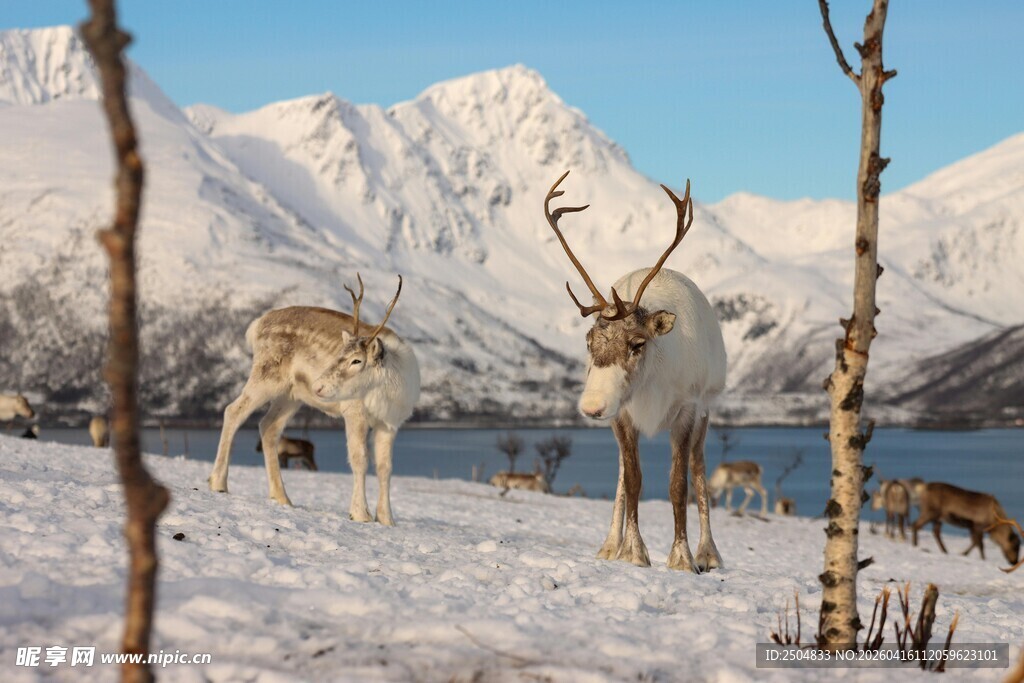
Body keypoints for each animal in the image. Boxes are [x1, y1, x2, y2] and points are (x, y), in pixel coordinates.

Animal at [208, 275, 420, 525]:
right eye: (340, 354)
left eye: (357, 360)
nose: (318, 386)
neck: (391, 390)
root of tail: (256, 325)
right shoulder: (354, 411)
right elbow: (359, 459)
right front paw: (360, 514)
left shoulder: (390, 423)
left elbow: (385, 467)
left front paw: (387, 519)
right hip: (267, 376)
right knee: (233, 410)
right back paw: (218, 483)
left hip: (291, 395)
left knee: (268, 426)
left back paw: (281, 497)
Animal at [543, 171, 727, 573]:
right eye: (589, 340)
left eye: (637, 343)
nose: (591, 406)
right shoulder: (623, 415)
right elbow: (633, 480)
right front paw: (633, 551)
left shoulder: (687, 410)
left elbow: (678, 484)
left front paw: (682, 558)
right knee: (621, 475)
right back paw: (610, 544)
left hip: (707, 408)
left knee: (700, 468)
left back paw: (709, 553)